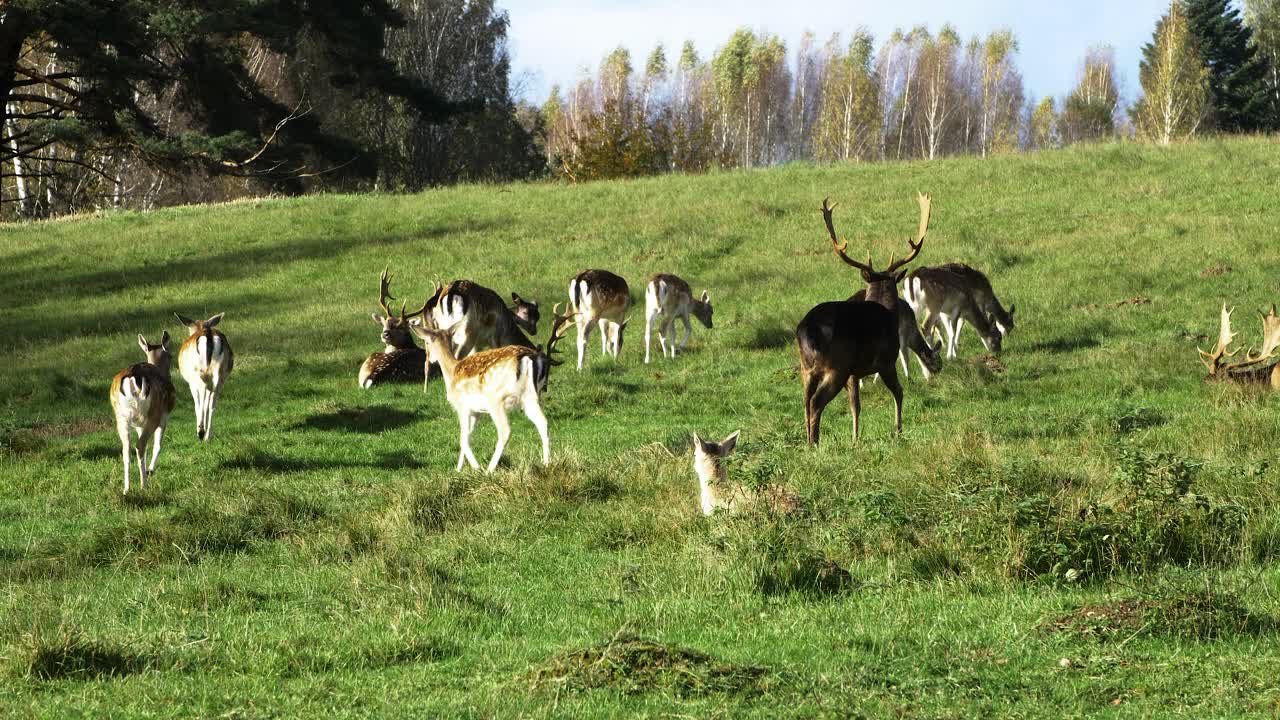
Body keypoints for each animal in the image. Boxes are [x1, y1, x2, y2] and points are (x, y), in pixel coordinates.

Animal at [110, 333, 177, 491]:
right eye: (171, 355)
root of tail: (132, 379)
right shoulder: (164, 416)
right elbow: (157, 445)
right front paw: (150, 470)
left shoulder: (139, 424)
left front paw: (145, 470)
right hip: (153, 414)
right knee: (140, 446)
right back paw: (143, 485)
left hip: (121, 417)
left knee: (127, 449)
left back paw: (126, 489)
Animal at [175, 308, 235, 438]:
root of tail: (208, 334)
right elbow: (207, 402)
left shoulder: (191, 383)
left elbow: (197, 403)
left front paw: (199, 428)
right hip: (219, 373)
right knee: (213, 400)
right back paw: (208, 435)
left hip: (198, 372)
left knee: (202, 395)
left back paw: (201, 432)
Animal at [409, 302, 576, 471]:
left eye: (428, 342)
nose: (430, 359)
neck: (452, 372)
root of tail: (530, 358)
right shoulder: (477, 412)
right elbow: (467, 437)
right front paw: (459, 469)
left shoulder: (462, 407)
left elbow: (463, 439)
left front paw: (476, 468)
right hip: (531, 397)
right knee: (544, 423)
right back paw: (546, 463)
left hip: (496, 399)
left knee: (505, 431)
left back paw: (489, 470)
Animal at [793, 192, 936, 443]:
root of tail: (808, 332)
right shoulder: (886, 360)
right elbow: (899, 392)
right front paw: (898, 430)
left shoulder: (854, 372)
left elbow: (855, 405)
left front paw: (855, 438)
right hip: (836, 366)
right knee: (816, 403)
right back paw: (815, 444)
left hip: (807, 368)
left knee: (805, 402)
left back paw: (809, 441)